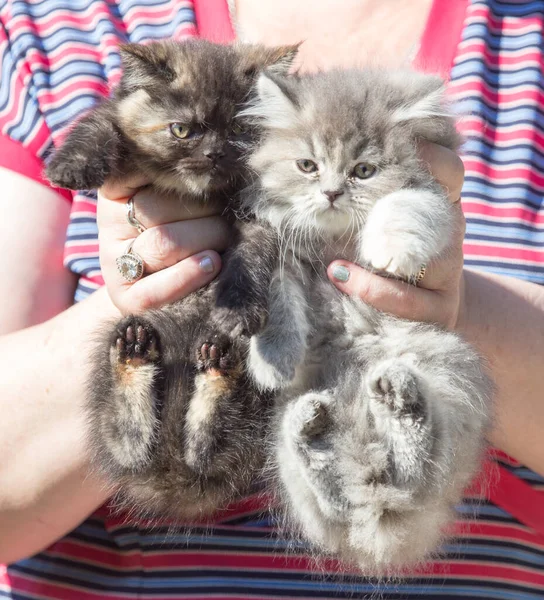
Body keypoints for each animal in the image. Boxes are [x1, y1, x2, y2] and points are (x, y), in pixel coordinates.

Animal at [46, 39, 300, 520]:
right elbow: (99, 125)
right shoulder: (118, 115)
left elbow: (252, 255)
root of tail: (168, 478)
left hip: (255, 394)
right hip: (116, 343)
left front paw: (237, 308)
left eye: (241, 129)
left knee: (207, 448)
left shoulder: (262, 212)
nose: (215, 153)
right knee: (127, 443)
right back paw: (135, 354)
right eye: (182, 130)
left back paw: (215, 362)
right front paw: (72, 165)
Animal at [236, 69, 490, 572]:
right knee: (333, 499)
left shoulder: (431, 195)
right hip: (285, 439)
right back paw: (314, 432)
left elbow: (403, 205)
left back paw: (399, 402)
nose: (332, 192)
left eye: (364, 171)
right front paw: (275, 360)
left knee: (417, 472)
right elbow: (277, 298)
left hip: (447, 370)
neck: (334, 240)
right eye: (307, 166)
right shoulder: (279, 245)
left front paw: (388, 250)